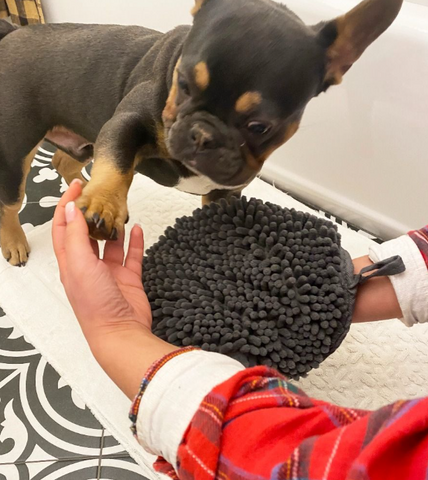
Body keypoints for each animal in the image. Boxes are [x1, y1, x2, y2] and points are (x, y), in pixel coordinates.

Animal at [0, 0, 402, 266]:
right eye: (183, 85)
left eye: (260, 127)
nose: (202, 135)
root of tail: (14, 33)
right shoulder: (126, 123)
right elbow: (115, 162)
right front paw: (103, 205)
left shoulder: (225, 192)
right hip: (15, 153)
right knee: (10, 203)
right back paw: (17, 242)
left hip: (81, 139)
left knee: (64, 160)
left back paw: (78, 185)